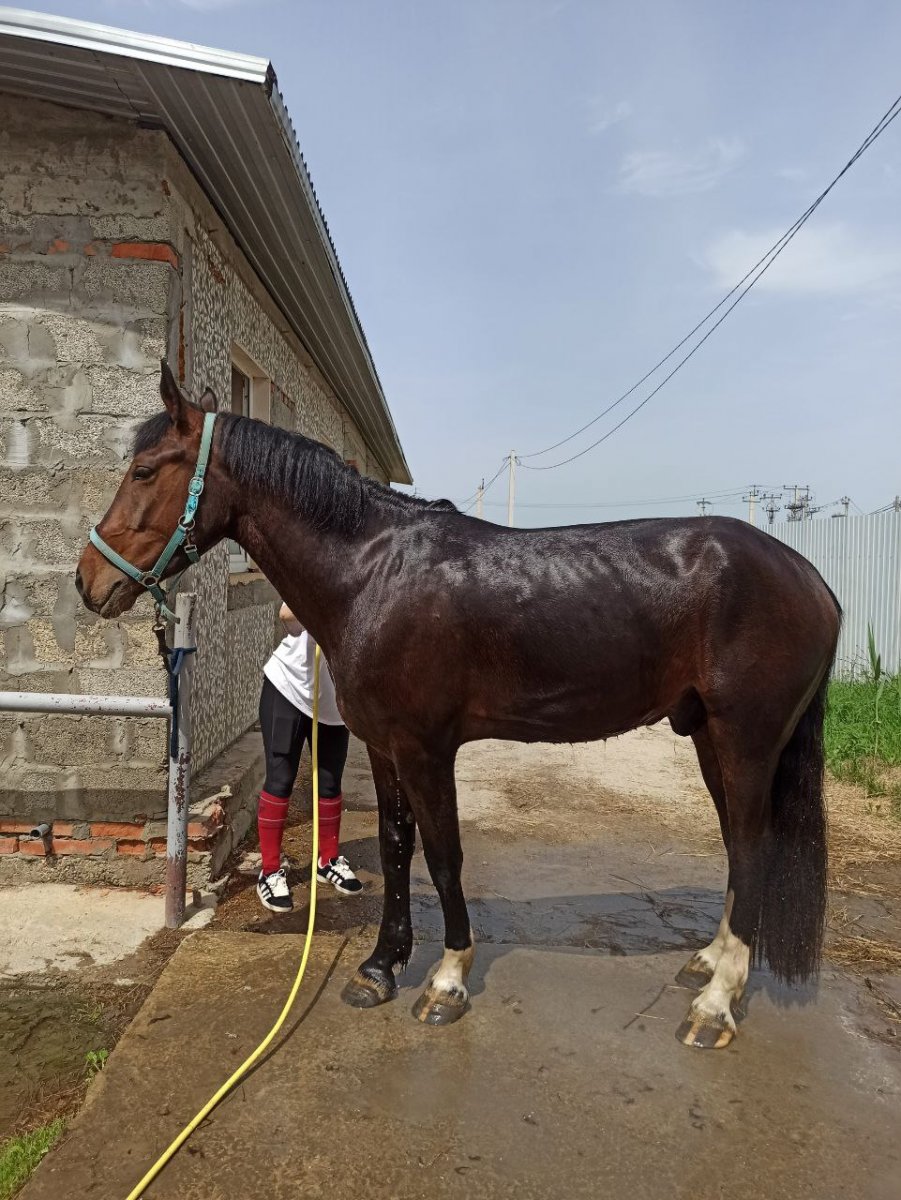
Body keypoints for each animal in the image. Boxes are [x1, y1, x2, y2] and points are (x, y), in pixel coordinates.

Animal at [74, 364, 844, 1051]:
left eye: (145, 471)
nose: (89, 581)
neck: (373, 572)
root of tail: (812, 579)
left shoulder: (425, 746)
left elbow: (444, 854)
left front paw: (446, 979)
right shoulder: (383, 744)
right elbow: (396, 846)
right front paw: (381, 968)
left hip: (745, 740)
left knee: (753, 847)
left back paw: (716, 1005)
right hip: (709, 736)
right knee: (739, 847)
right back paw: (710, 964)